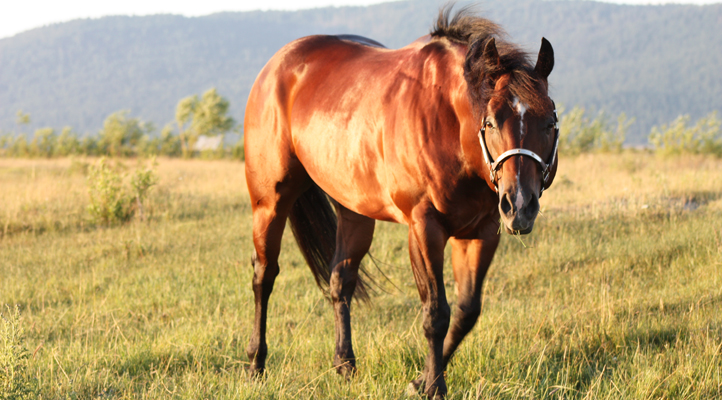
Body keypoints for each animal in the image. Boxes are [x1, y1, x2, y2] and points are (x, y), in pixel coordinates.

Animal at [242, 5, 556, 396]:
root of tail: (277, 65)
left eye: (551, 121)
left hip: (355, 212)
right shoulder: (424, 228)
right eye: (492, 122)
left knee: (340, 280)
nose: (521, 206)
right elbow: (435, 313)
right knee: (264, 275)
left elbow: (466, 312)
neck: (448, 123)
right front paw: (433, 386)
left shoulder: (481, 232)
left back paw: (345, 364)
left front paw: (421, 381)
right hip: (270, 201)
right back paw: (256, 364)